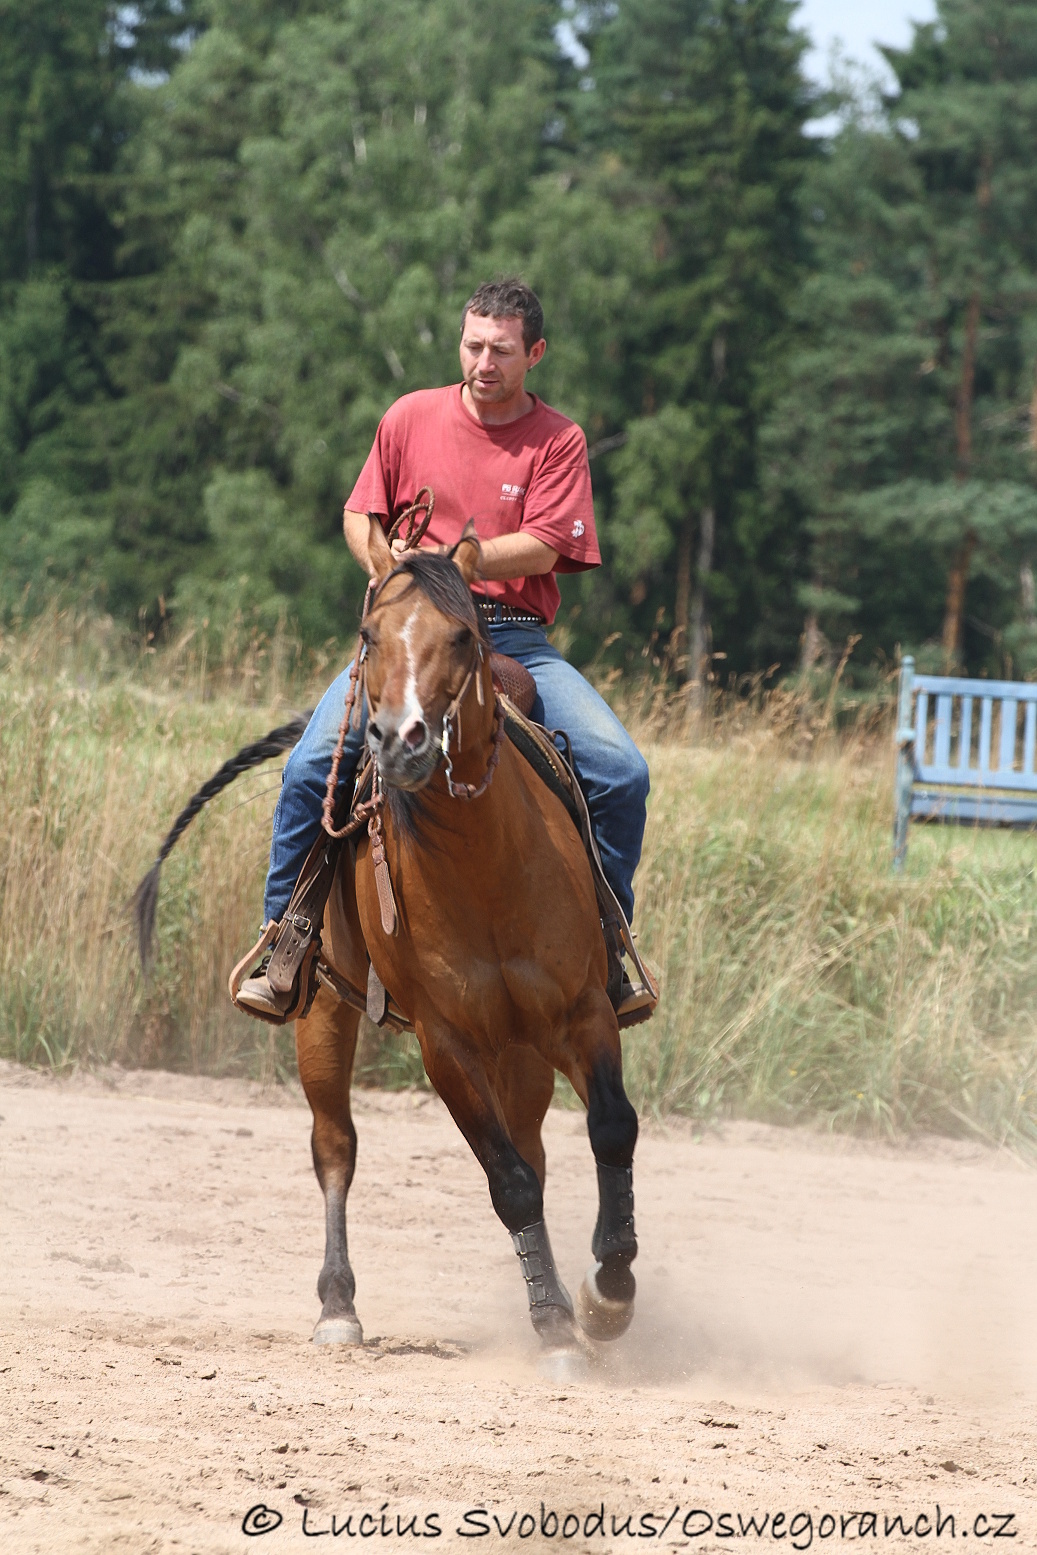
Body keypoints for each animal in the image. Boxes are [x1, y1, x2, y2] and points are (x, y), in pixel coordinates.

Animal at [300, 516, 637, 1368]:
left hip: (522, 1049)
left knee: (539, 1144)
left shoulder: (583, 1012)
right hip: (323, 1006)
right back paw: (337, 1306)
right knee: (335, 1144)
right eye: (369, 634)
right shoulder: (445, 1042)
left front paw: (606, 1294)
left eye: (461, 635)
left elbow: (611, 1126)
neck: (485, 863)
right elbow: (508, 1180)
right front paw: (553, 1322)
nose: (400, 740)